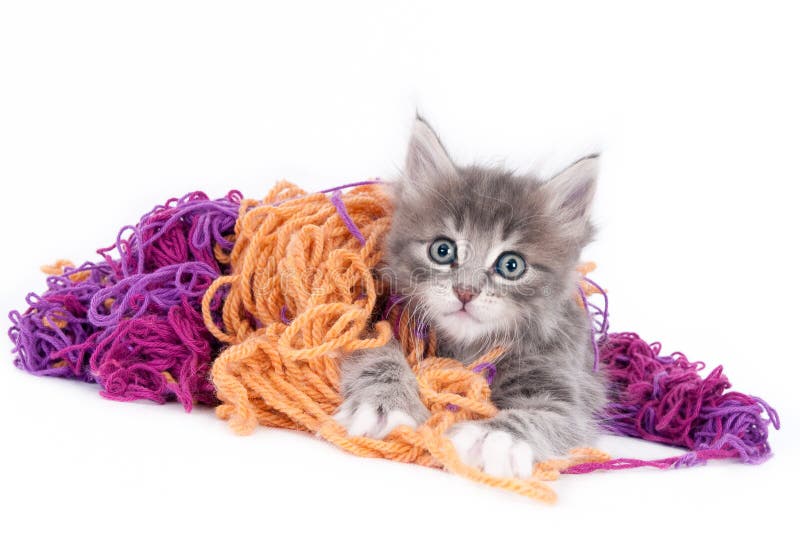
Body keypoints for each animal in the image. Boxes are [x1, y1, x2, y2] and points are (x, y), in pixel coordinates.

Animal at [332, 119, 608, 480]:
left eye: (511, 265)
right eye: (442, 250)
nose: (465, 291)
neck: (466, 348)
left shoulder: (566, 384)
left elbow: (547, 415)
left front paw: (495, 437)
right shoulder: (372, 320)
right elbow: (378, 353)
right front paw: (386, 403)